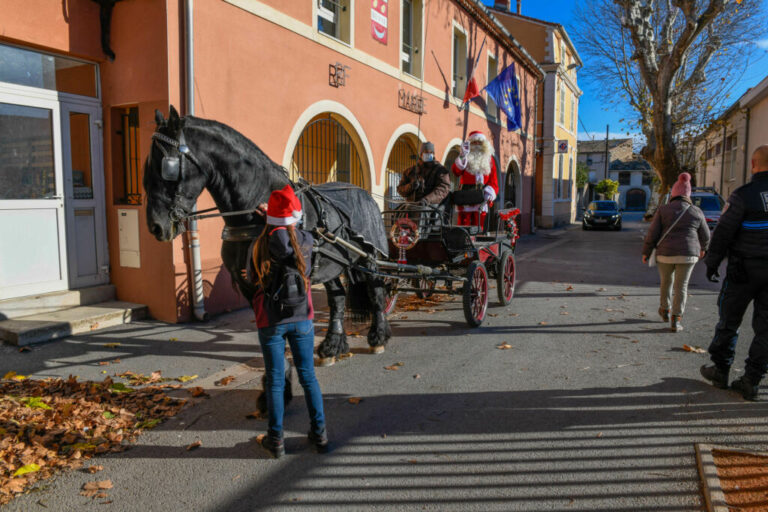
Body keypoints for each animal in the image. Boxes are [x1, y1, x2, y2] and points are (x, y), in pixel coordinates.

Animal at [144, 107, 392, 364]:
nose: (155, 226)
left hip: (369, 258)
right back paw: (333, 345)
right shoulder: (245, 281)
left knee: (376, 291)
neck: (258, 209)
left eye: (166, 167)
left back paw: (377, 337)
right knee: (338, 296)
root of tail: (363, 192)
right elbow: (266, 324)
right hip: (332, 262)